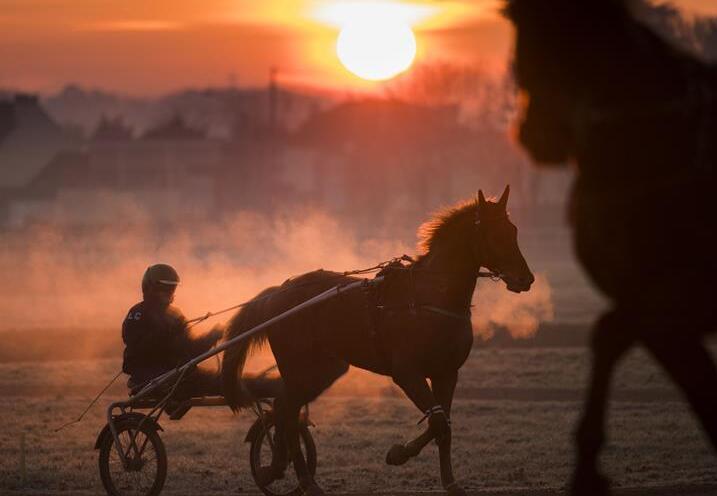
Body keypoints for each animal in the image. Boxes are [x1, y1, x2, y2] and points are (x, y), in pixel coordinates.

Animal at [222, 188, 532, 494]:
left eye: (514, 230)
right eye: (495, 234)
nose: (525, 278)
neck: (429, 298)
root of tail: (278, 294)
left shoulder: (447, 373)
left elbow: (443, 426)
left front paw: (451, 483)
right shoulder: (407, 373)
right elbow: (438, 422)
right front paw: (398, 454)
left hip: (323, 370)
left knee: (284, 407)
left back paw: (278, 468)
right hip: (298, 367)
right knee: (287, 413)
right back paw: (303, 480)